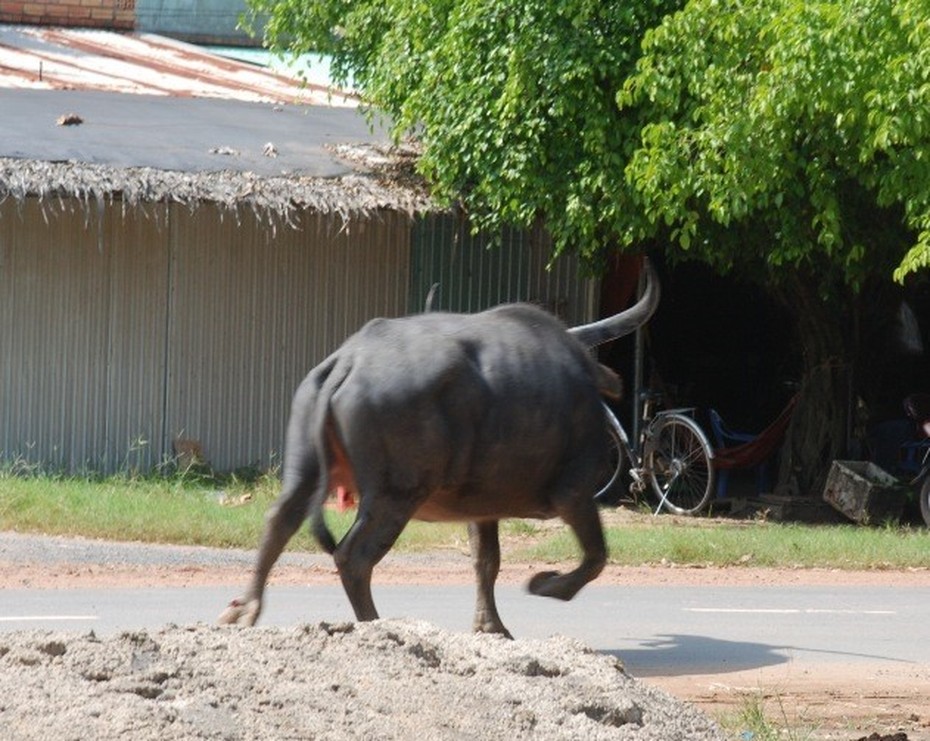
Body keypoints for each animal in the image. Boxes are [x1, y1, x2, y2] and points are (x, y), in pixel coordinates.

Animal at [220, 260, 656, 636]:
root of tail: (349, 360)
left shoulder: (483, 508)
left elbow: (486, 560)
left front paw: (491, 627)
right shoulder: (575, 492)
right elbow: (596, 555)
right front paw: (544, 584)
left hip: (306, 468)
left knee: (280, 520)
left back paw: (245, 610)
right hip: (396, 493)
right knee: (352, 556)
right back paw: (377, 624)